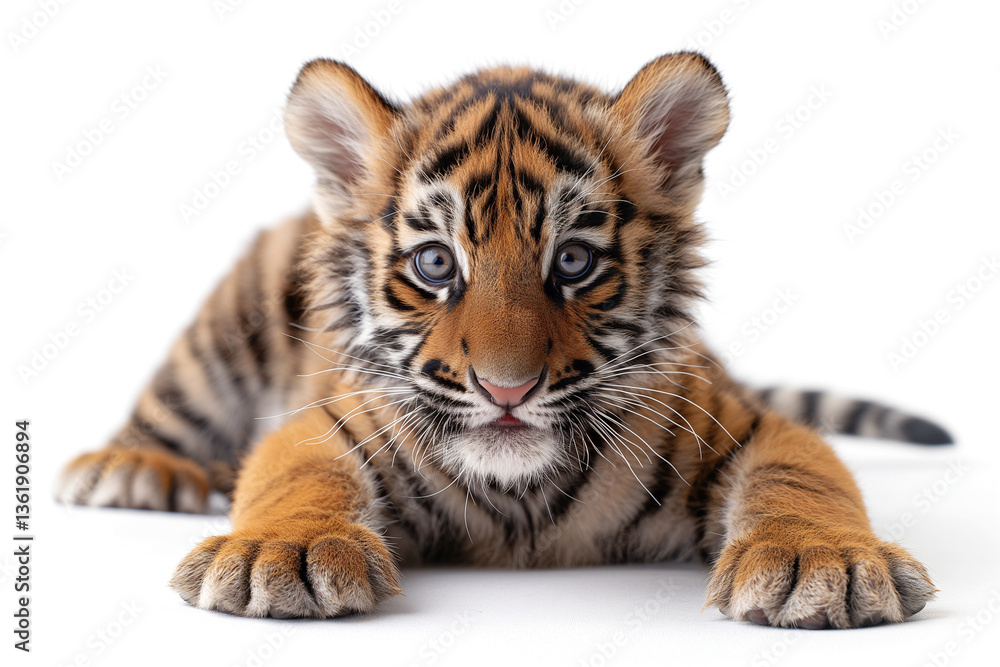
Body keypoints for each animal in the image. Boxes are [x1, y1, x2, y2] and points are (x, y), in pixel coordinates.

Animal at [55, 52, 951, 629]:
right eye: (434, 263)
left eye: (575, 261)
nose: (507, 389)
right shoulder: (336, 417)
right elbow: (293, 471)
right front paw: (283, 551)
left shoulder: (738, 420)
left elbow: (803, 476)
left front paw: (825, 563)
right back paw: (133, 467)